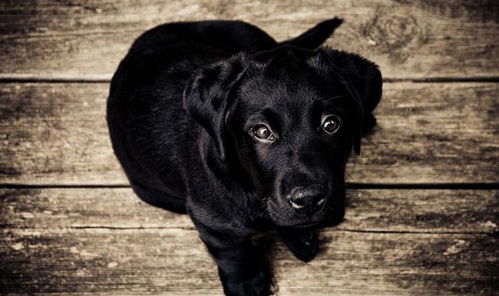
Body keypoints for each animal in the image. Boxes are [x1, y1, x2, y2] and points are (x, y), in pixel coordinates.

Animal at [108, 17, 382, 296]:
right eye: (262, 131)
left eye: (331, 124)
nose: (308, 200)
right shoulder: (211, 223)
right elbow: (235, 255)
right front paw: (247, 285)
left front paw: (299, 236)